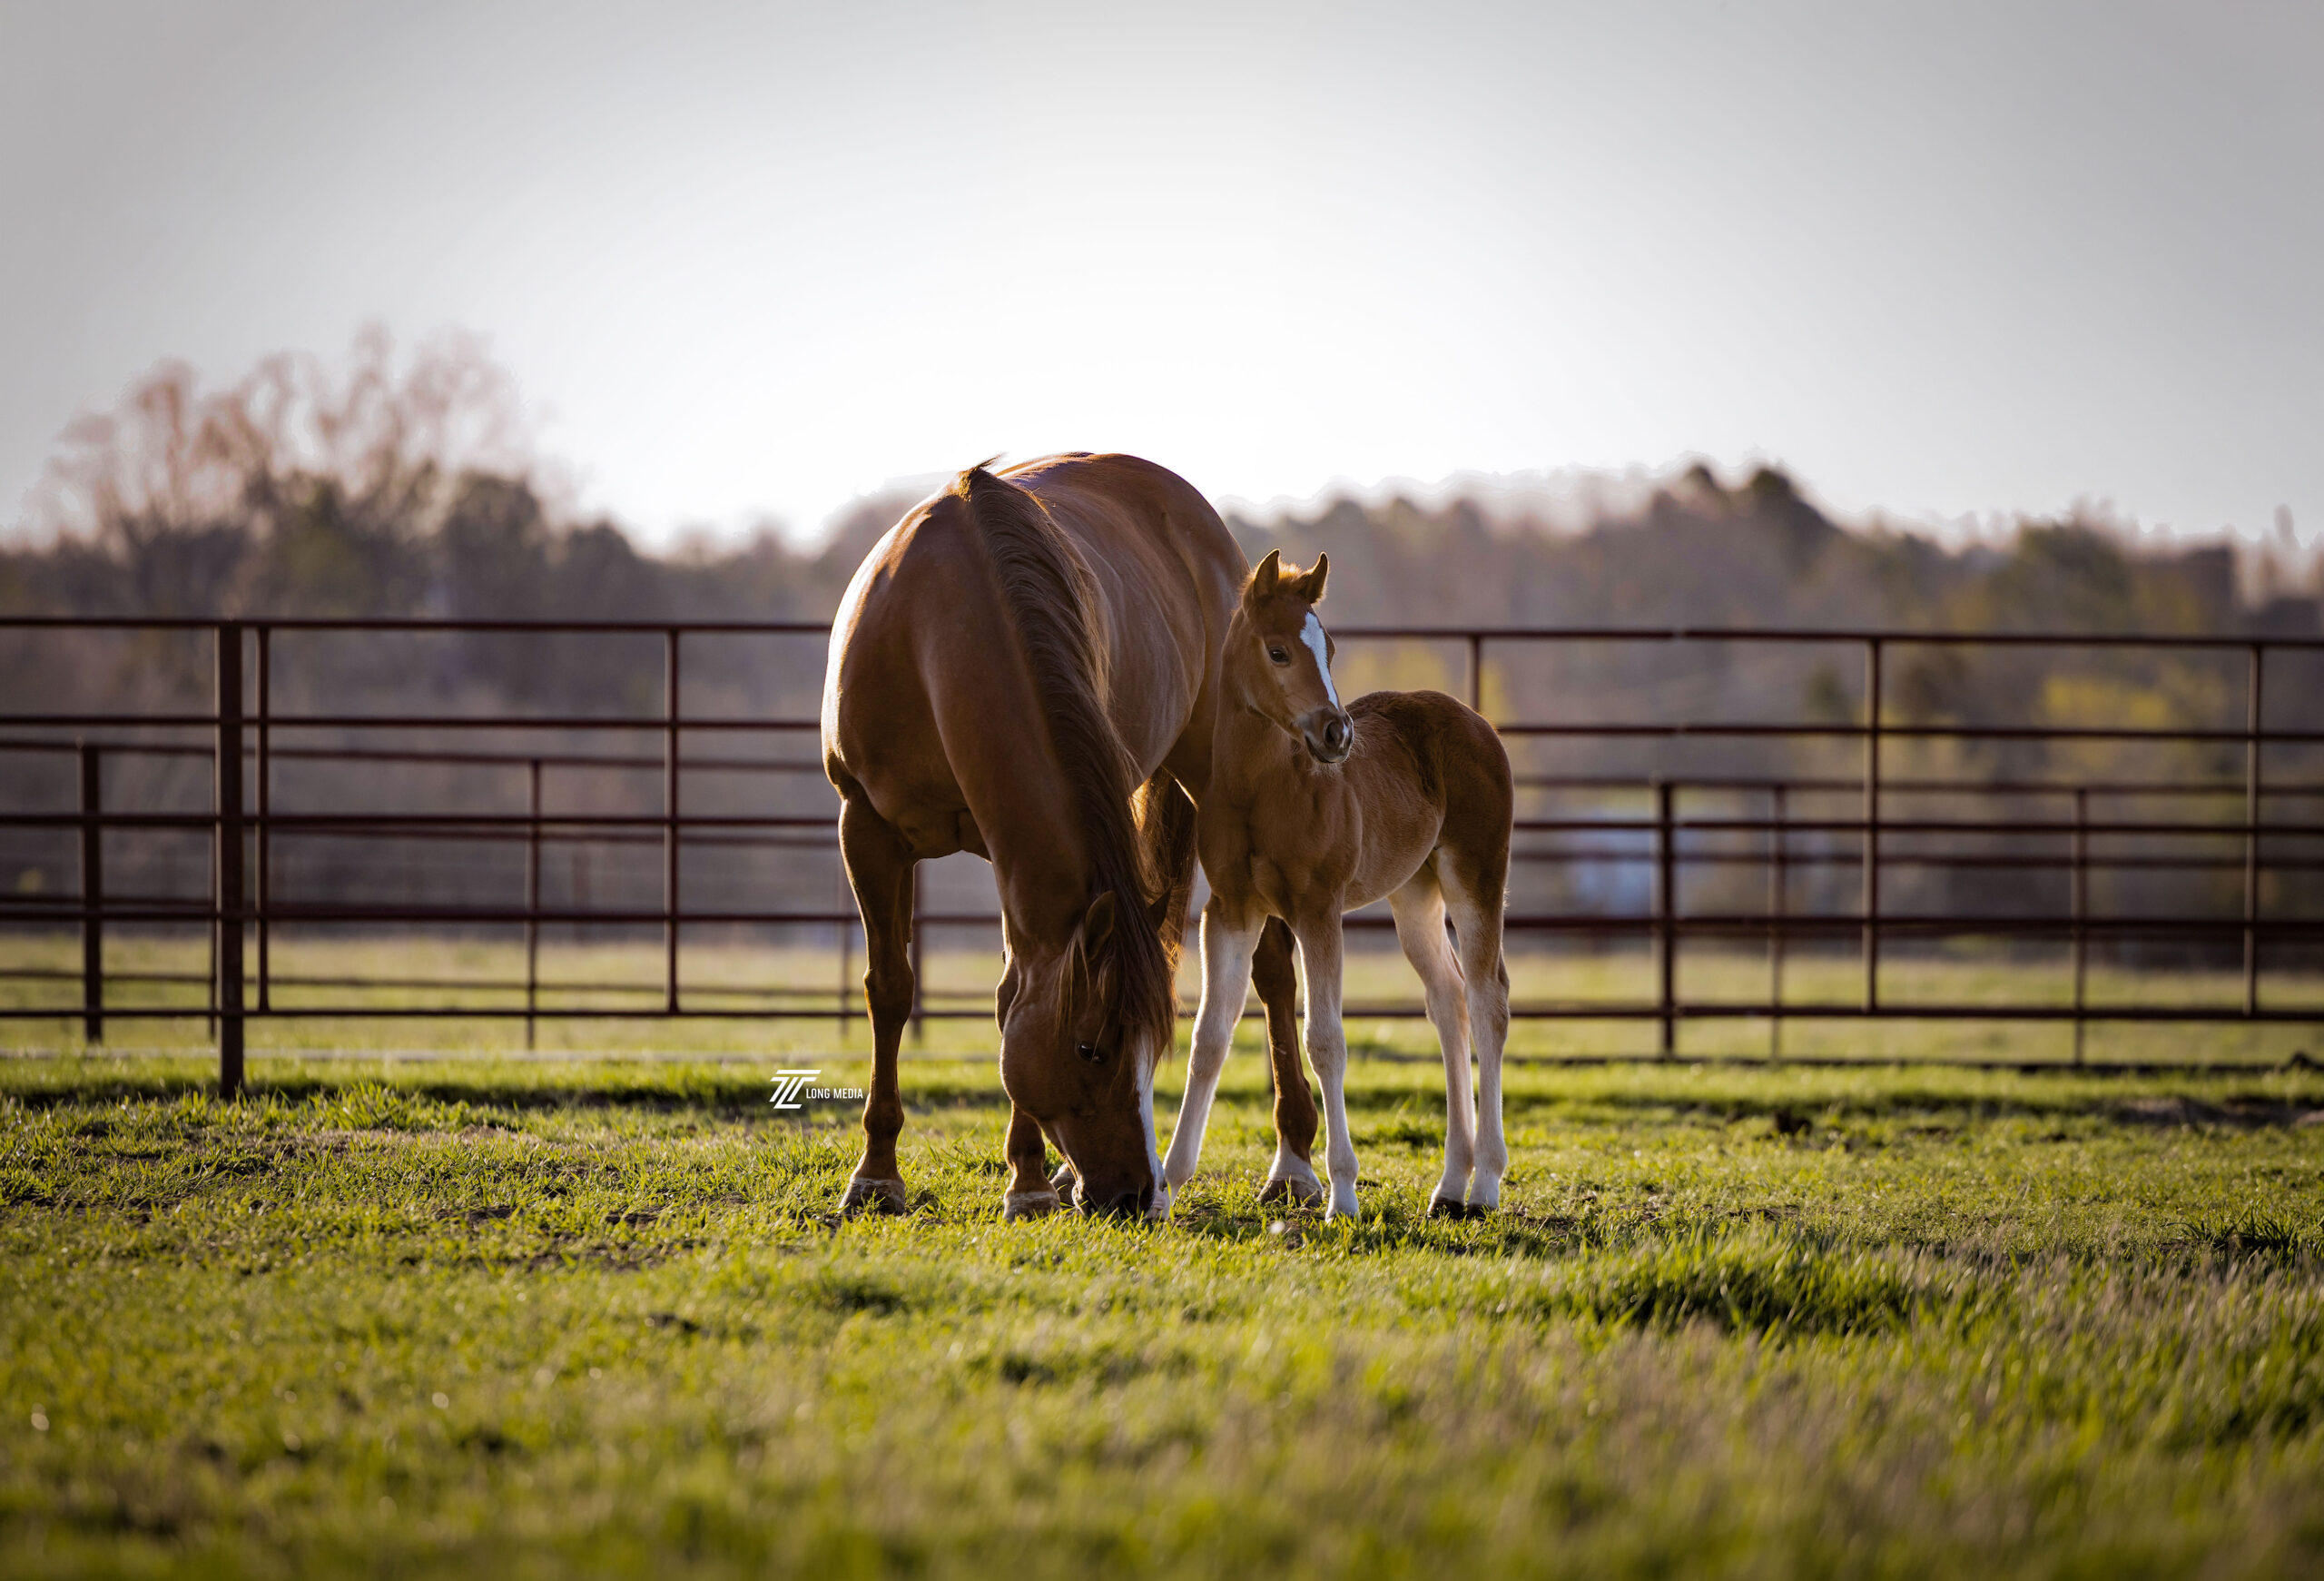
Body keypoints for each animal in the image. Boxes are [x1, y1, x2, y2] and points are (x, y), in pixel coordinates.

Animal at [820, 455, 1307, 1221]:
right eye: (1090, 1049)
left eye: (1147, 1048)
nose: (1133, 1193)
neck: (935, 627)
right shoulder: (865, 825)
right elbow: (893, 989)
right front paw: (876, 1175)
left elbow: (1010, 993)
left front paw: (1023, 1178)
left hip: (1222, 788)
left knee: (1274, 964)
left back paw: (1293, 1164)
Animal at [1161, 550, 1514, 1221]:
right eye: (1278, 651)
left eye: (1329, 648)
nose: (1337, 734)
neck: (1263, 787)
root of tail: (1476, 721)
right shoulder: (1231, 910)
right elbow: (1209, 1036)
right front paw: (1165, 1182)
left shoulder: (1317, 908)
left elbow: (1324, 1039)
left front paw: (1343, 1192)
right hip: (1414, 892)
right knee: (1448, 999)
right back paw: (1449, 1185)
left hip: (1476, 875)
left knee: (1489, 1002)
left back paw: (1484, 1183)